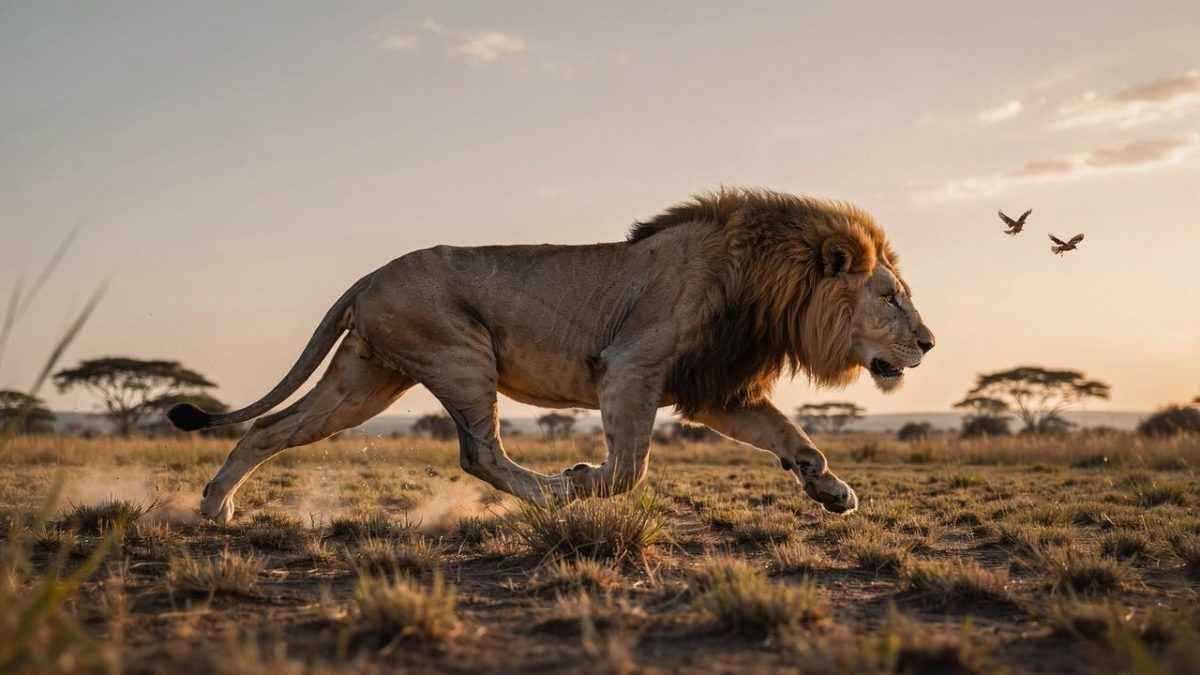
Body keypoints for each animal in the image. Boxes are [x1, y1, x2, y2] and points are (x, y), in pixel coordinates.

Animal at [170, 188, 934, 522]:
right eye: (893, 297)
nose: (929, 343)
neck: (768, 287)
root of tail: (365, 278)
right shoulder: (629, 367)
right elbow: (627, 469)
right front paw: (582, 475)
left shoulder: (716, 389)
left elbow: (798, 441)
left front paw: (833, 492)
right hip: (460, 354)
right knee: (480, 453)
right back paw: (553, 493)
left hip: (365, 379)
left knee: (271, 428)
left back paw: (213, 506)